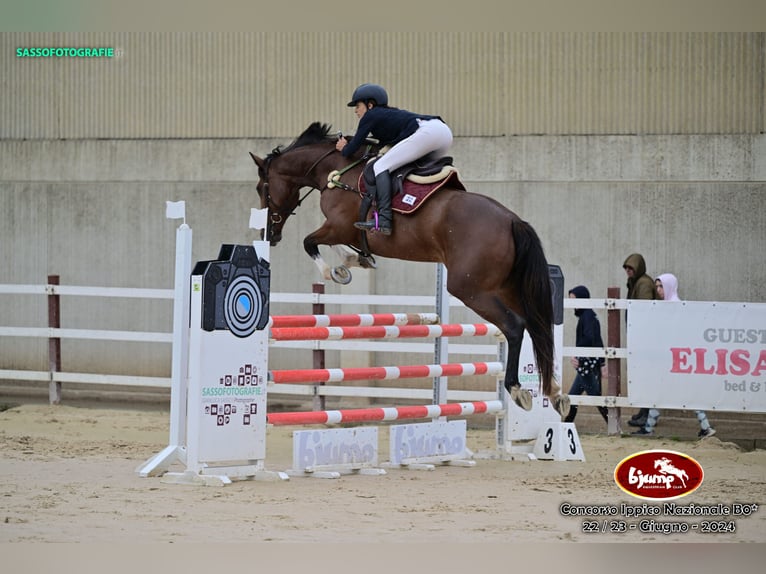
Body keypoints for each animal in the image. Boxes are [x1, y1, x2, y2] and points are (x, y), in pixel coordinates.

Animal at [250, 122, 568, 418]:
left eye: (261, 188)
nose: (268, 234)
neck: (337, 170)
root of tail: (513, 221)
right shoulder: (343, 231)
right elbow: (334, 246)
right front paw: (356, 261)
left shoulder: (338, 226)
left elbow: (310, 242)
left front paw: (338, 270)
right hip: (510, 288)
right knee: (538, 327)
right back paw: (555, 394)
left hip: (469, 289)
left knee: (514, 327)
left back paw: (517, 389)